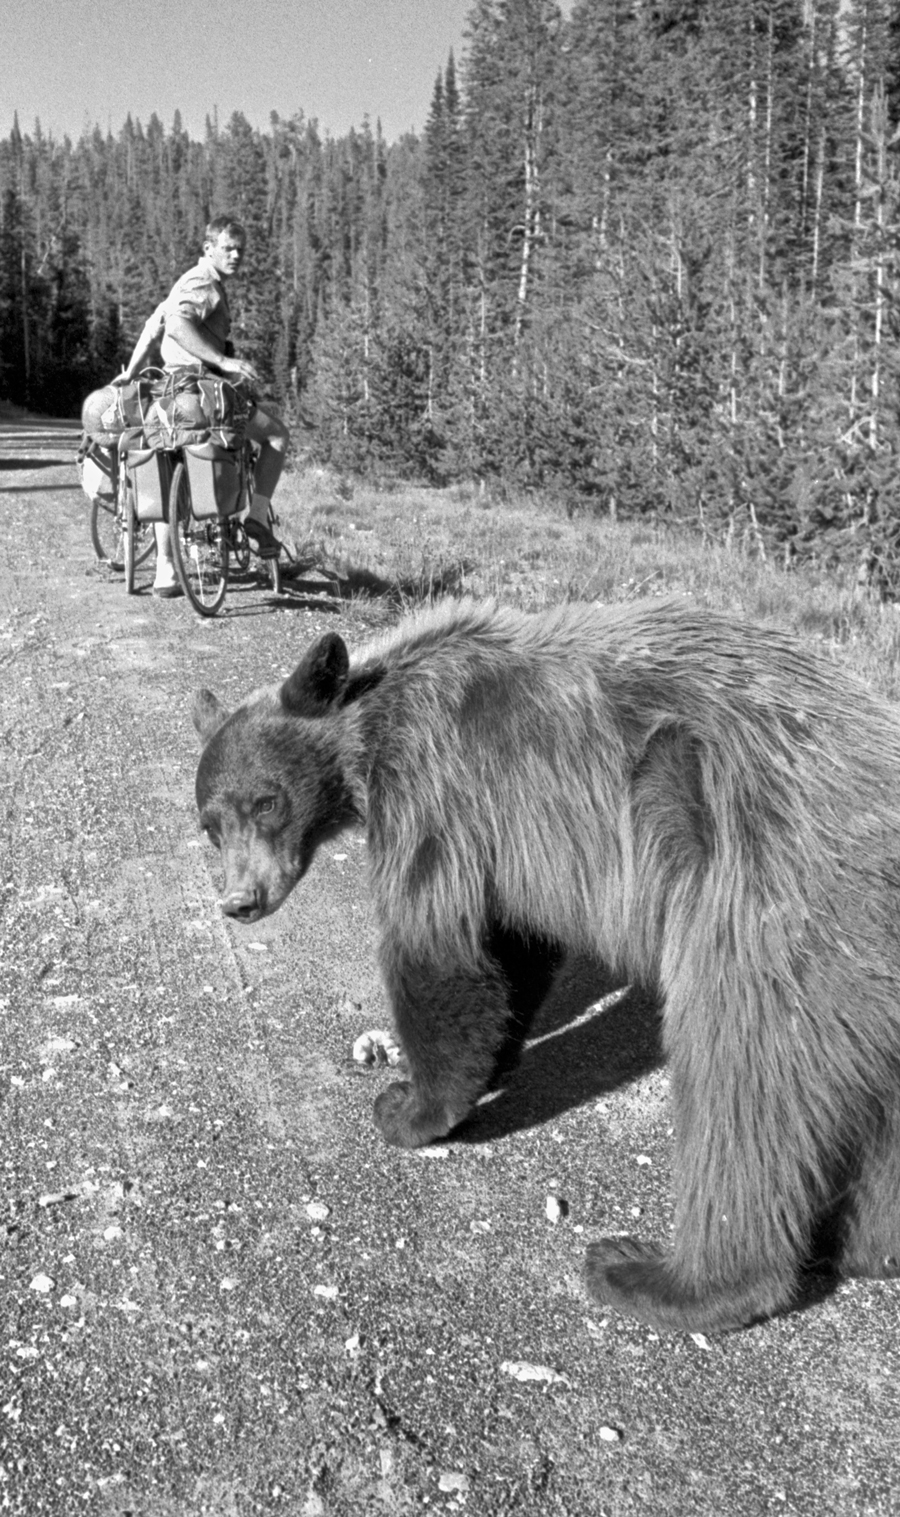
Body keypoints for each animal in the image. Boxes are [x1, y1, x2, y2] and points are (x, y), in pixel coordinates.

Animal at [187, 597, 898, 1334]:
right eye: (210, 824)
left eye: (266, 801)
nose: (239, 902)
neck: (369, 740)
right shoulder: (516, 848)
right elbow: (514, 949)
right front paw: (492, 1061)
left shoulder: (435, 792)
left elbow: (435, 949)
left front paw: (409, 1106)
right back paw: (864, 1244)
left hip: (768, 886)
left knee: (743, 1079)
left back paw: (661, 1275)